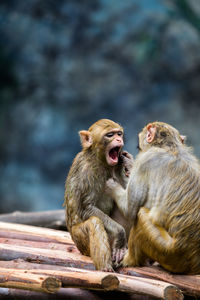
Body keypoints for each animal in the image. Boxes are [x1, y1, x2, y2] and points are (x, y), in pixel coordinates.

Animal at [63, 118, 133, 270]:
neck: (100, 160)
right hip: (81, 242)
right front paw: (120, 233)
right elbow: (86, 208)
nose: (119, 139)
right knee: (94, 222)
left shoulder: (117, 166)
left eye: (119, 133)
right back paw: (106, 268)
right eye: (110, 135)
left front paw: (129, 162)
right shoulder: (87, 171)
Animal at [106, 121, 200, 274]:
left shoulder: (145, 161)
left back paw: (129, 260)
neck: (170, 147)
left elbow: (130, 211)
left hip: (167, 251)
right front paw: (129, 163)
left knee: (140, 215)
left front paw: (112, 186)